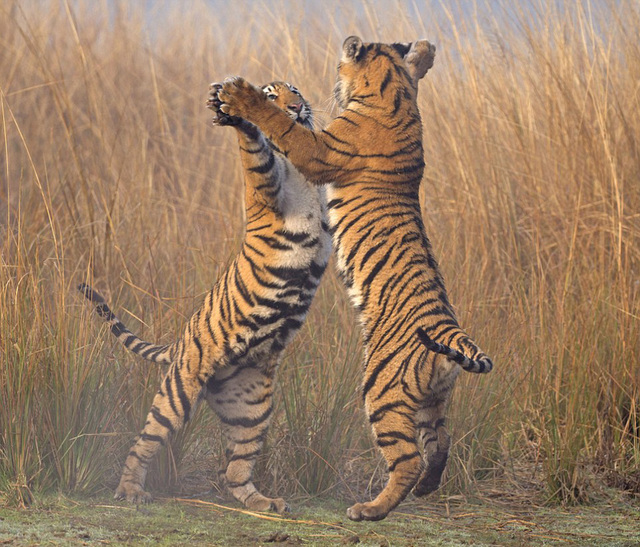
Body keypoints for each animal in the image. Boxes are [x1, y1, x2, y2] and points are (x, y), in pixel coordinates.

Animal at [77, 80, 332, 512]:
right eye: (271, 95)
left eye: (294, 90)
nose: (297, 107)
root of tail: (178, 343)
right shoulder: (267, 189)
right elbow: (256, 152)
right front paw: (236, 112)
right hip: (178, 392)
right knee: (143, 443)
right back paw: (130, 491)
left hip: (252, 407)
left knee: (237, 468)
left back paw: (262, 502)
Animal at [212, 36, 492, 520]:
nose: (309, 97)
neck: (396, 95)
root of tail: (453, 335)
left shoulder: (318, 150)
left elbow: (282, 127)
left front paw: (242, 96)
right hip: (433, 400)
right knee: (441, 444)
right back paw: (426, 489)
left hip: (382, 391)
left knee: (408, 460)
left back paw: (369, 509)